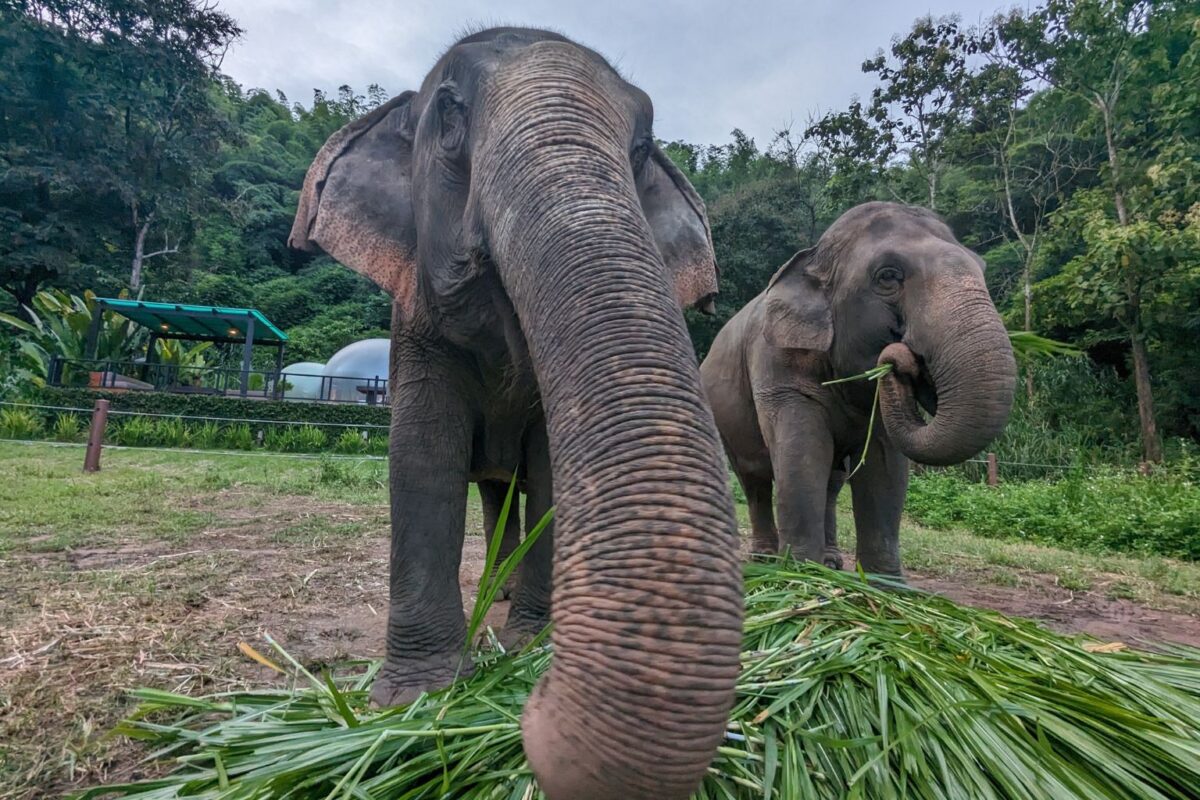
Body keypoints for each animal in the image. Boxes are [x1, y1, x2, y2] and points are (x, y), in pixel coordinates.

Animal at [288, 28, 739, 800]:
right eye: (449, 117)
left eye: (643, 147)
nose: (535, 708)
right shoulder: (415, 329)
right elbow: (422, 458)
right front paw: (418, 698)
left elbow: (554, 473)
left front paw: (530, 644)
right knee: (492, 493)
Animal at [700, 201, 1012, 575]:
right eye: (888, 276)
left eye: (982, 268)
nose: (899, 360)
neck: (815, 258)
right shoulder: (776, 363)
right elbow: (802, 454)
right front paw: (801, 575)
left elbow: (885, 467)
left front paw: (884, 585)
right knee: (754, 476)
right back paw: (766, 559)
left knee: (832, 482)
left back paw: (831, 562)